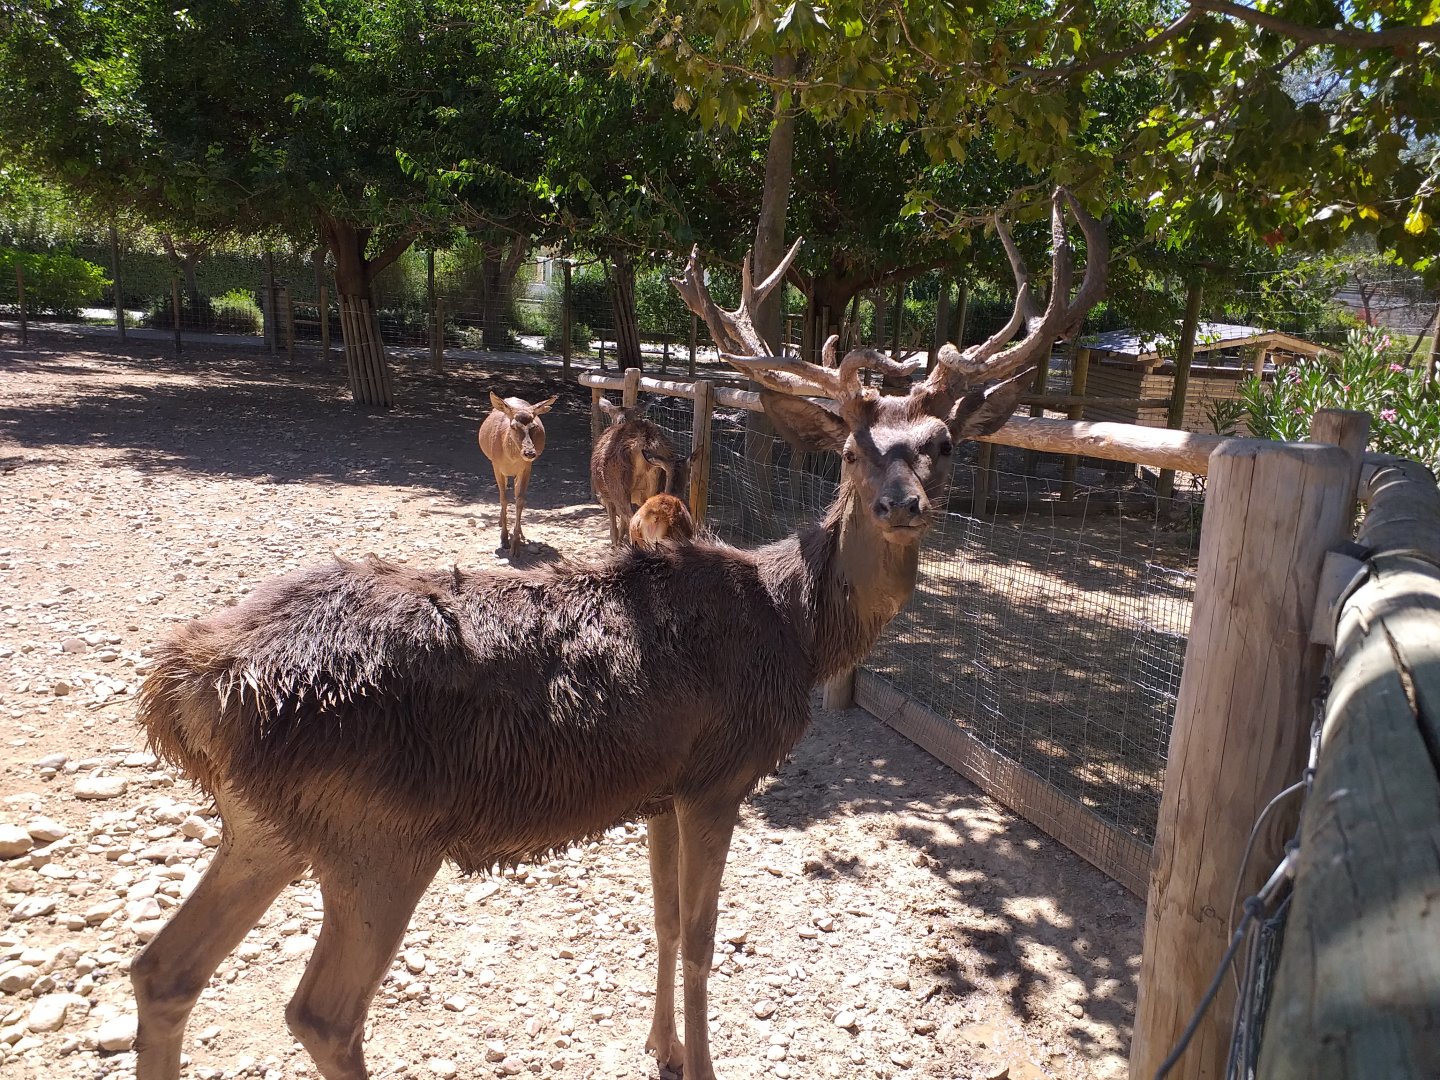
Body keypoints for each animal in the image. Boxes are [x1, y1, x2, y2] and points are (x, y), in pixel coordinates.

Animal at [478, 391, 557, 559]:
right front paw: (503, 539)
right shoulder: (496, 465)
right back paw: (500, 522)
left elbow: (519, 500)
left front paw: (515, 546)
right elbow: (503, 499)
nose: (530, 452)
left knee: (515, 491)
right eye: (513, 426)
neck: (510, 459)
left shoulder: (526, 467)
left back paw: (520, 533)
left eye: (534, 427)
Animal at [591, 398, 694, 546]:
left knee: (629, 518)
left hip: (618, 487)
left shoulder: (605, 495)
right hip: (654, 484)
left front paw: (616, 545)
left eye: (611, 415)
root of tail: (644, 443)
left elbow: (614, 529)